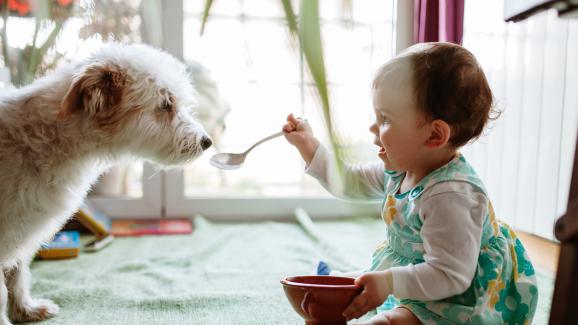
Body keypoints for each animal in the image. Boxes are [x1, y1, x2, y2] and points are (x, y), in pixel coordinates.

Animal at [0, 43, 212, 324]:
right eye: (166, 104)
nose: (207, 142)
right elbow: (2, 291)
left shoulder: (21, 234)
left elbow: (18, 273)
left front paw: (26, 309)